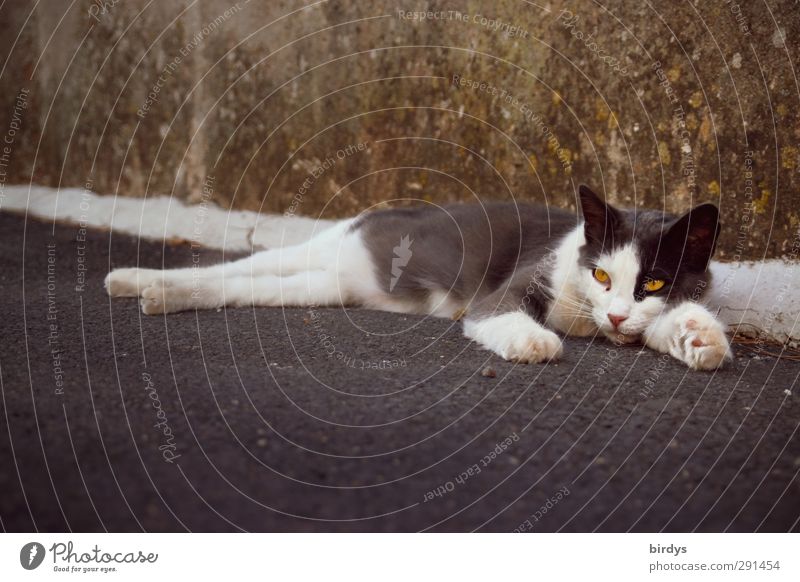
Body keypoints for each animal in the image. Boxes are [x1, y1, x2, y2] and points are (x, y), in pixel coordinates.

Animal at [104, 185, 732, 372]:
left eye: (653, 284)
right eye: (601, 272)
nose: (619, 313)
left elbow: (670, 324)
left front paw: (698, 337)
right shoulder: (520, 282)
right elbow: (499, 311)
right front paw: (535, 340)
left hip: (327, 284)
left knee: (245, 287)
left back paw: (154, 292)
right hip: (332, 245)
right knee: (241, 266)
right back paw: (135, 279)